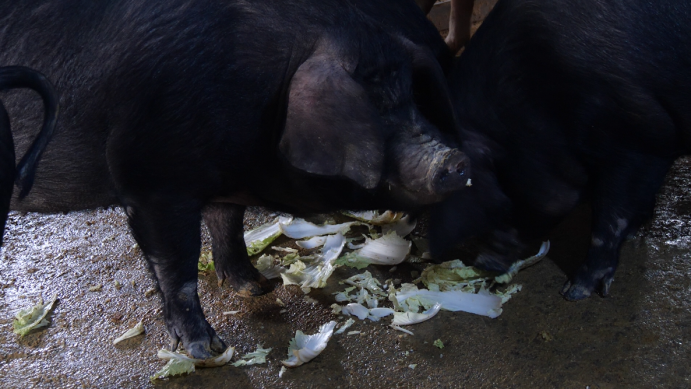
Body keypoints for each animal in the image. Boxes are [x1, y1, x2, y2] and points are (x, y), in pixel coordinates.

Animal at [1, 0, 464, 358]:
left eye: (410, 98)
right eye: (376, 108)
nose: (456, 161)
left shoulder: (220, 180)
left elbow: (228, 224)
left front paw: (257, 286)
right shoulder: (151, 179)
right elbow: (178, 266)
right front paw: (208, 350)